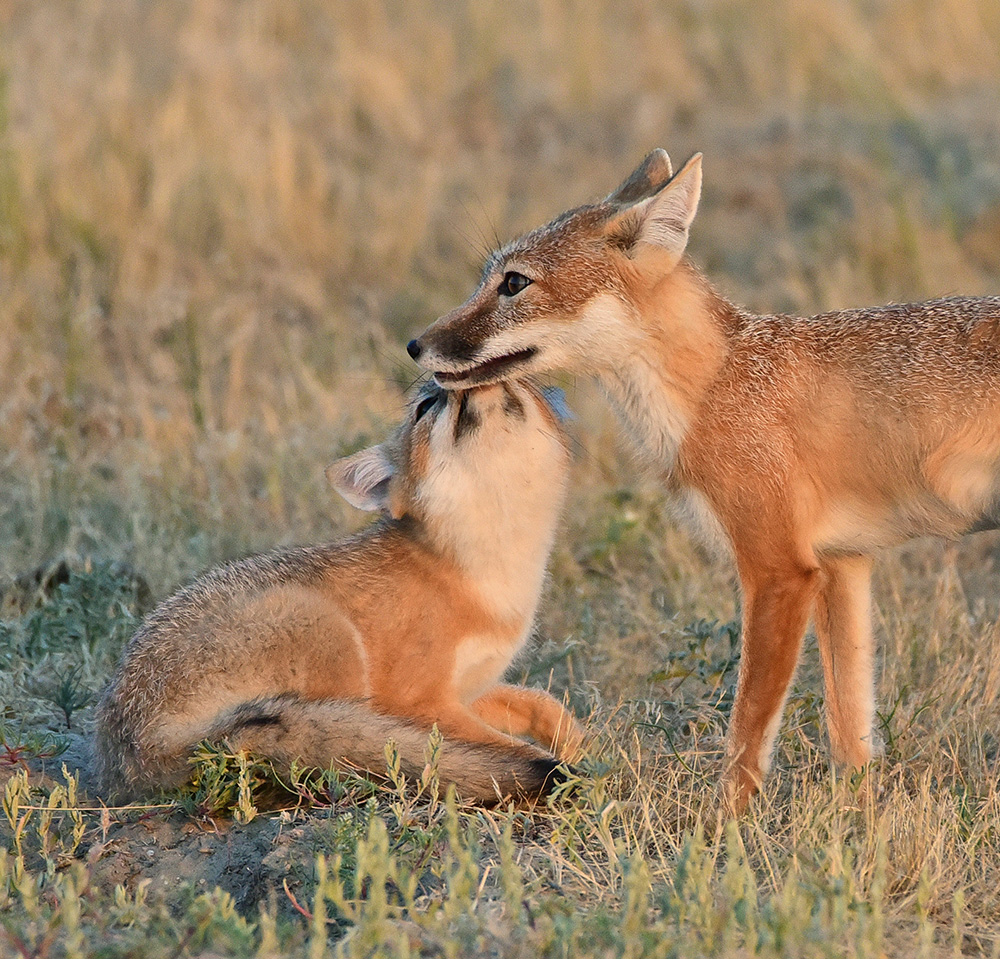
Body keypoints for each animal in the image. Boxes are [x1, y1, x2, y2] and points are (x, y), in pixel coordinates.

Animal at [92, 378, 584, 808]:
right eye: (425, 407)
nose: (454, 379)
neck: (483, 574)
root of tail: (127, 753)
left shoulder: (466, 688)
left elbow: (541, 703)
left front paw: (580, 743)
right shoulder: (418, 699)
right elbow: (501, 745)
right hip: (331, 638)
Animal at [406, 148, 1000, 808]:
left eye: (514, 283)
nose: (415, 344)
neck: (714, 384)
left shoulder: (780, 571)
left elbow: (747, 735)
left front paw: (725, 825)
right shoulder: (844, 563)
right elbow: (851, 733)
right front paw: (856, 821)